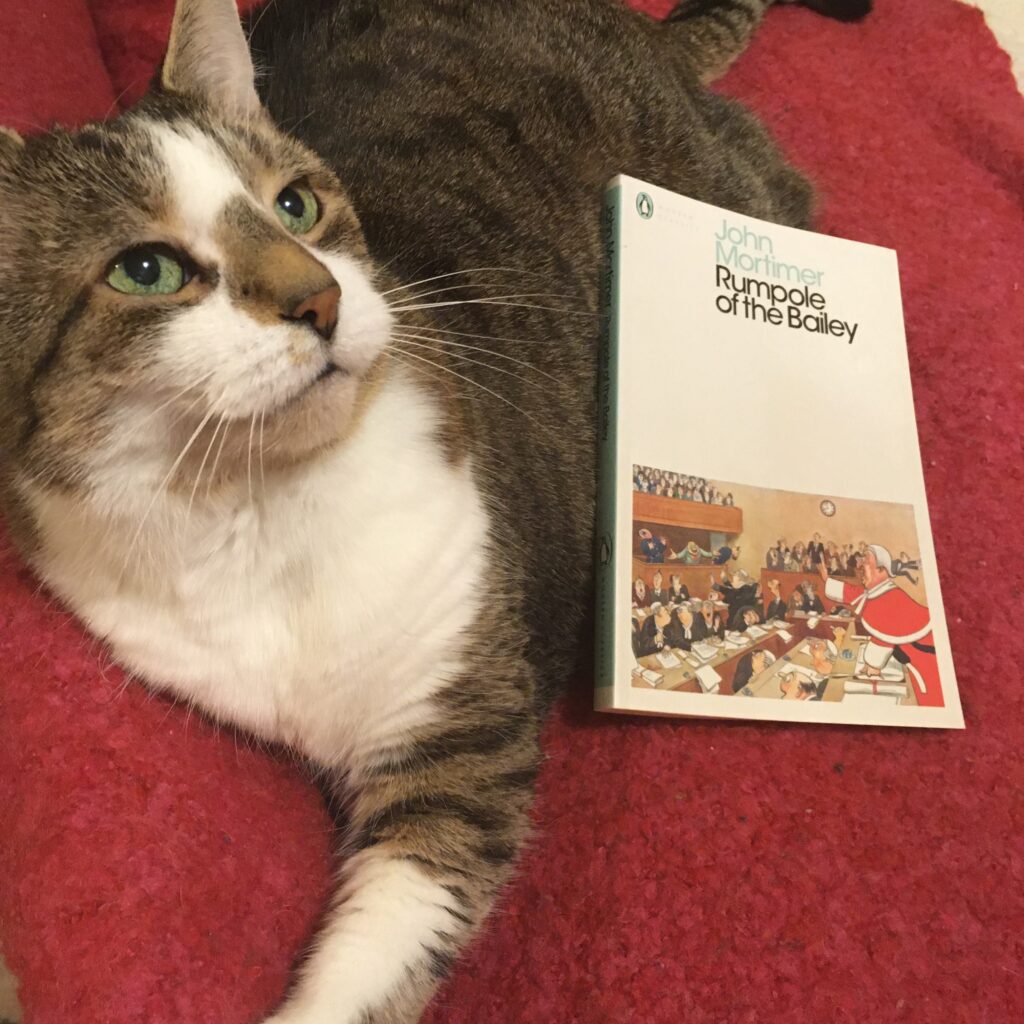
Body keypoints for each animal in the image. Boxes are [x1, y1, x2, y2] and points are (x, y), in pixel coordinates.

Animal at [0, 2, 864, 1024]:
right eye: (145, 270)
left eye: (297, 206)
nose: (322, 297)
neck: (259, 506)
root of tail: (636, 32)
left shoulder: (460, 741)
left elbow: (387, 941)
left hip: (729, 186)